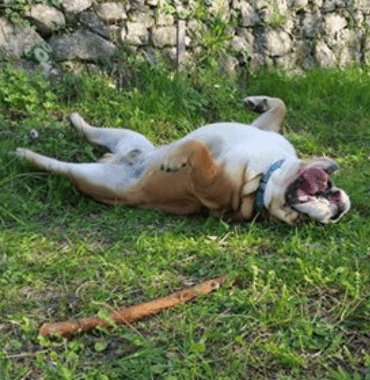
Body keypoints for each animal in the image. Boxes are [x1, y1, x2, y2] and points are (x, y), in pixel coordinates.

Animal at [14, 96, 350, 224]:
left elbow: (197, 148)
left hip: (94, 177)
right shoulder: (264, 130)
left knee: (59, 167)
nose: (338, 210)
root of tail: (118, 158)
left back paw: (25, 155)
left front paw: (176, 160)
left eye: (300, 221)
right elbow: (280, 107)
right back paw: (76, 121)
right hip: (130, 136)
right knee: (96, 133)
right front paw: (259, 101)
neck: (268, 174)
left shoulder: (213, 184)